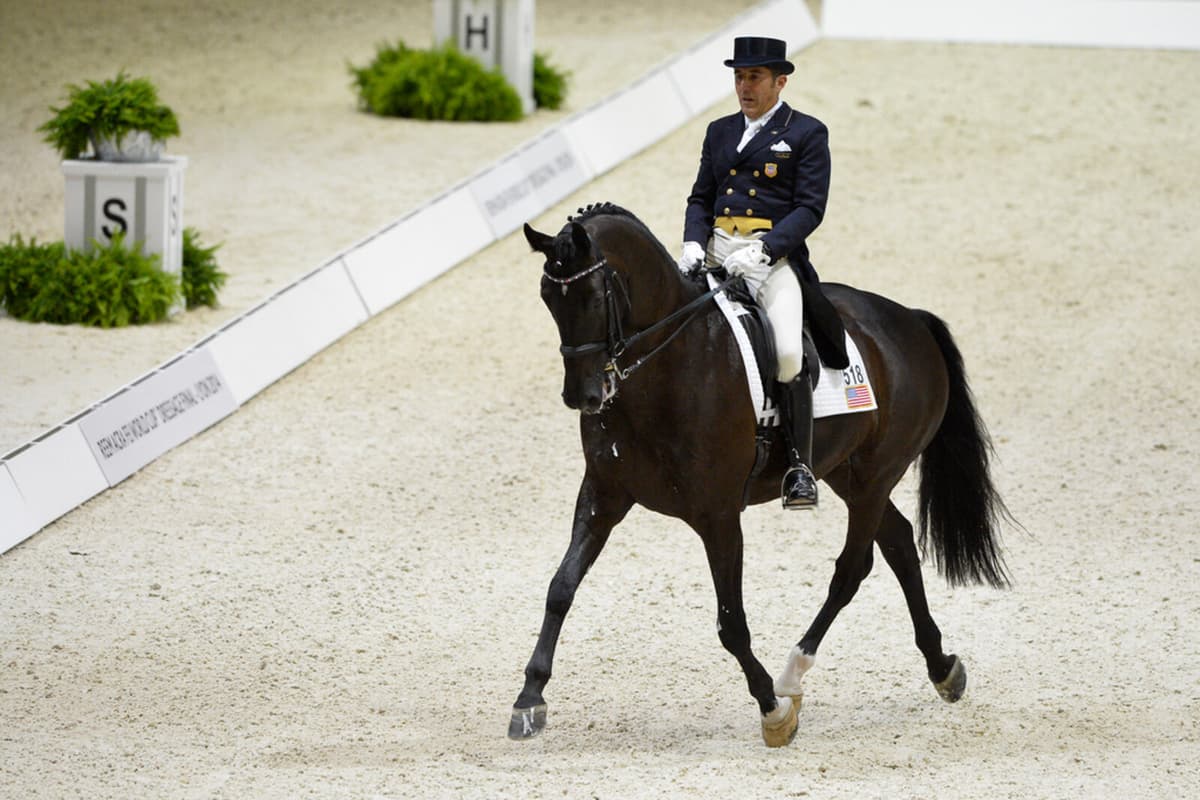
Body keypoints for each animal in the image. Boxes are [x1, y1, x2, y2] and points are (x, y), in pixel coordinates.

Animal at [509, 202, 1011, 747]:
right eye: (547, 297)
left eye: (595, 295)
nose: (582, 396)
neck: (669, 366)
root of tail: (910, 321)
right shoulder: (603, 495)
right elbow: (560, 589)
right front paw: (529, 700)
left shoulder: (719, 516)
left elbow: (731, 623)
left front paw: (772, 709)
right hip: (847, 474)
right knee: (898, 542)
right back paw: (943, 668)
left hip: (877, 475)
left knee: (852, 569)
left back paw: (793, 675)